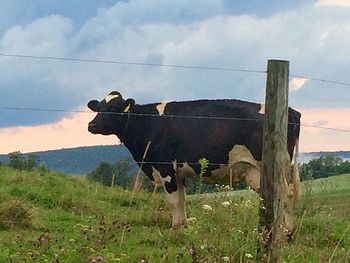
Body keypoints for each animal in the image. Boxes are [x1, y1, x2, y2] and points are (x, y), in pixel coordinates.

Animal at [88, 91, 300, 231]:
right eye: (99, 107)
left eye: (114, 108)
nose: (92, 125)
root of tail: (292, 111)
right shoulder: (178, 172)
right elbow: (182, 199)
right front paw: (182, 226)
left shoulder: (165, 169)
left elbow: (174, 201)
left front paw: (175, 228)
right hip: (258, 172)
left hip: (273, 166)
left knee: (287, 195)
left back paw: (287, 232)